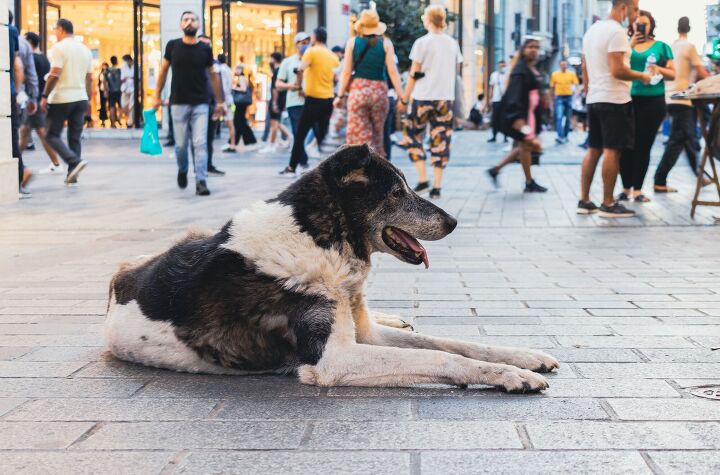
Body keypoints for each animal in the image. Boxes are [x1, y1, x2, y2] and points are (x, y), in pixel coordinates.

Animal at [104, 143, 560, 392]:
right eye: (397, 193)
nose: (453, 222)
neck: (321, 237)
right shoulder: (334, 358)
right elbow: (440, 359)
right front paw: (511, 376)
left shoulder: (365, 335)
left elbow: (453, 344)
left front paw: (523, 358)